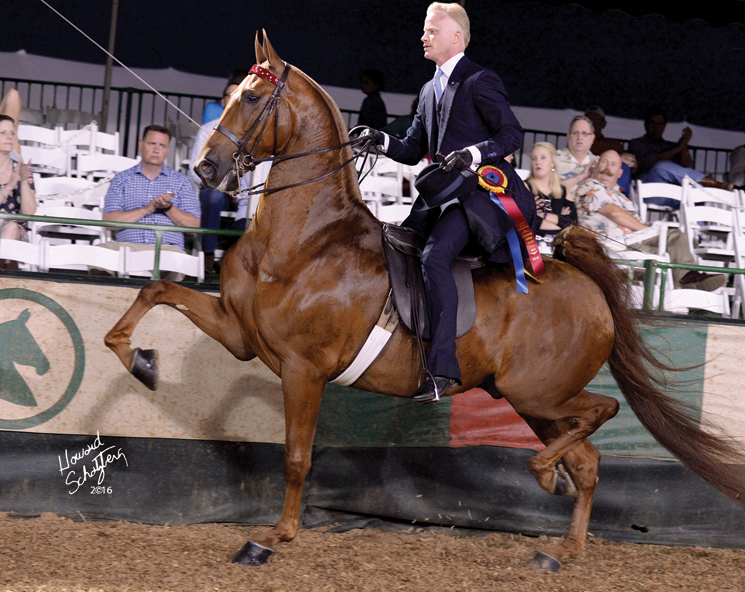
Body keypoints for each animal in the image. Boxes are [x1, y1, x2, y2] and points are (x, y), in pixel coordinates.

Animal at [104, 33, 744, 568]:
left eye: (254, 97)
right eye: (231, 94)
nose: (206, 169)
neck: (304, 239)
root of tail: (579, 279)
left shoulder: (303, 370)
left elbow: (297, 456)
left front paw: (273, 537)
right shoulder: (240, 333)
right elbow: (155, 289)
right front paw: (141, 362)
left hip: (538, 391)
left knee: (600, 414)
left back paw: (544, 478)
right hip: (533, 401)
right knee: (587, 461)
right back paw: (561, 548)